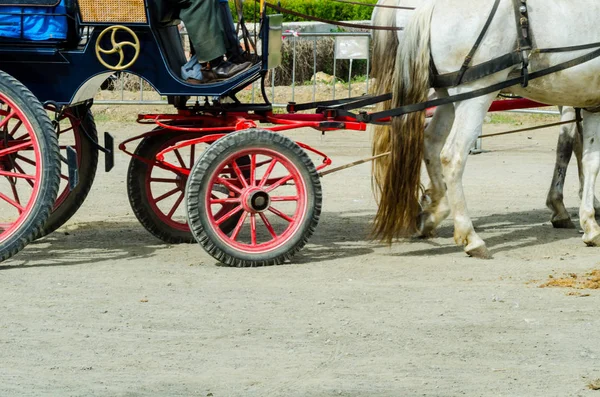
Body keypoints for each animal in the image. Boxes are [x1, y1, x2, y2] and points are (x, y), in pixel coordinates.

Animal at [372, 0, 600, 256]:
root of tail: (431, 5)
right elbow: (572, 148)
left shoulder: (589, 102)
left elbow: (589, 159)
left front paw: (589, 221)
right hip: (476, 93)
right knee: (453, 155)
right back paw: (470, 236)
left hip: (448, 95)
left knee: (431, 141)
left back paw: (434, 211)